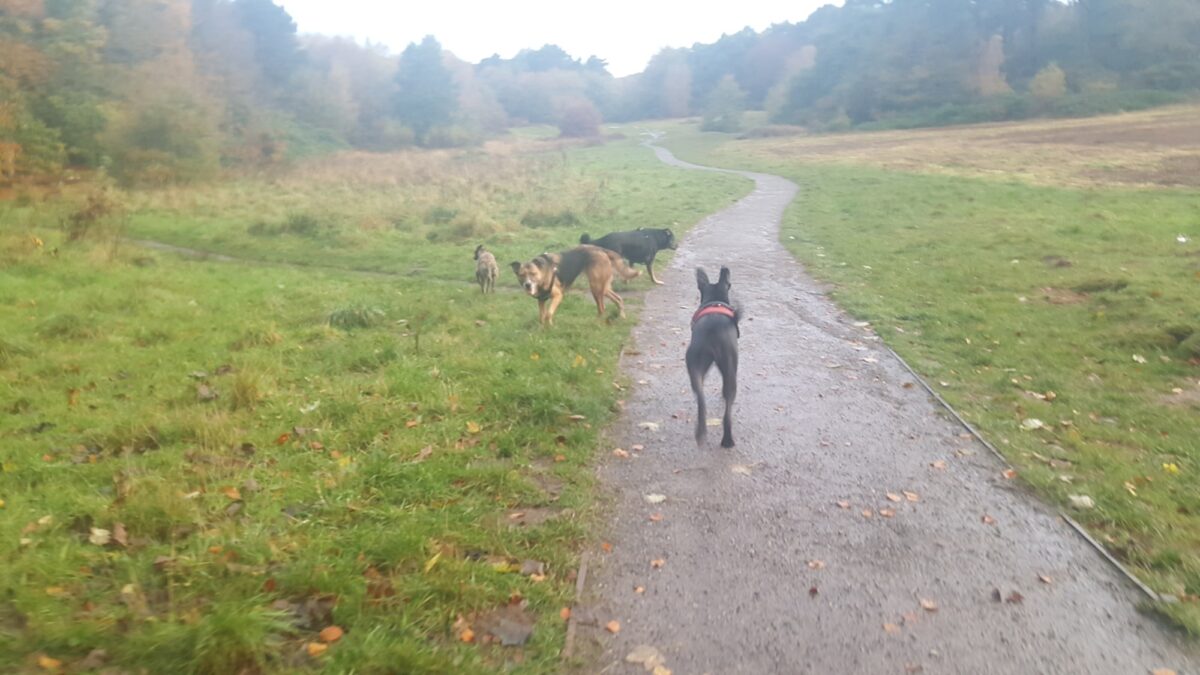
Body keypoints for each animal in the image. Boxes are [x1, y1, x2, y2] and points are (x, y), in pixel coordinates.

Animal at [506, 242, 638, 324]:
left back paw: (596, 323)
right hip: (603, 287)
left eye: (533, 274)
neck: (543, 273)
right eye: (521, 275)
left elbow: (548, 314)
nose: (527, 285)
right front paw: (542, 329)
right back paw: (621, 316)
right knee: (618, 299)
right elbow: (541, 316)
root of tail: (600, 249)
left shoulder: (558, 296)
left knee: (602, 308)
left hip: (595, 287)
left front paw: (550, 327)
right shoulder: (541, 300)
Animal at [686, 266, 739, 446]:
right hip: (729, 370)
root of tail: (713, 330)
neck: (715, 300)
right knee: (726, 408)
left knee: (702, 400)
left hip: (695, 366)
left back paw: (704, 433)